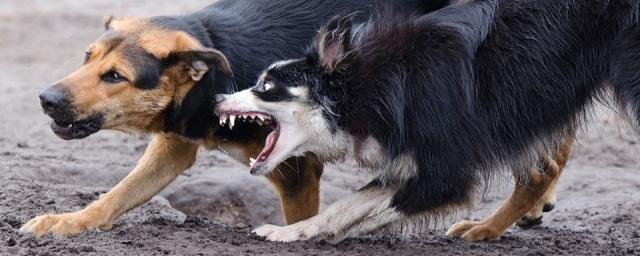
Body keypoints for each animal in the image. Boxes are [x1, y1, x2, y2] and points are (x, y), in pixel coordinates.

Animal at [20, 0, 450, 237]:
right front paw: (70, 221)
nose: (45, 99)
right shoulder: (174, 144)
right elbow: (120, 192)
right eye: (86, 57)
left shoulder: (296, 173)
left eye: (115, 76)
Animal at [216, 0, 640, 243]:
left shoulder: (446, 170)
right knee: (541, 171)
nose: (219, 98)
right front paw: (298, 231)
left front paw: (300, 233)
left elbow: (373, 206)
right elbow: (351, 204)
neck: (370, 86)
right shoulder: (410, 157)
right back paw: (486, 229)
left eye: (266, 86)